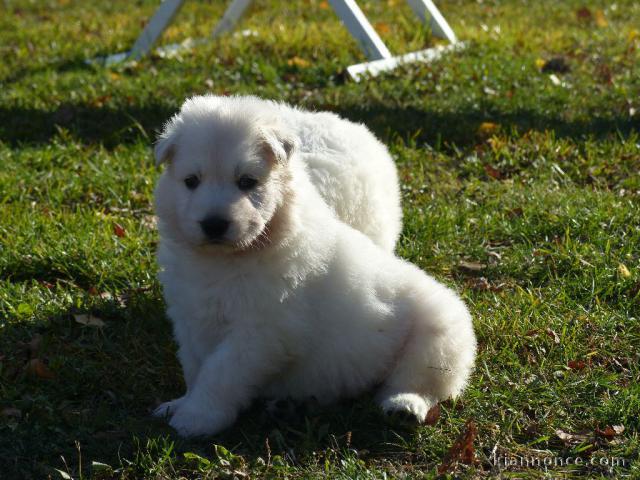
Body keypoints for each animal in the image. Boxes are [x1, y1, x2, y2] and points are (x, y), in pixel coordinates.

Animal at [154, 95, 476, 436]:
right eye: (191, 181)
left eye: (247, 182)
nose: (214, 224)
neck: (226, 260)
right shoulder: (189, 318)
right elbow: (196, 367)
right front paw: (180, 403)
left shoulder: (260, 332)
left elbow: (220, 373)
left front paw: (195, 417)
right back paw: (290, 406)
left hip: (439, 338)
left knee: (417, 381)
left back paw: (403, 405)